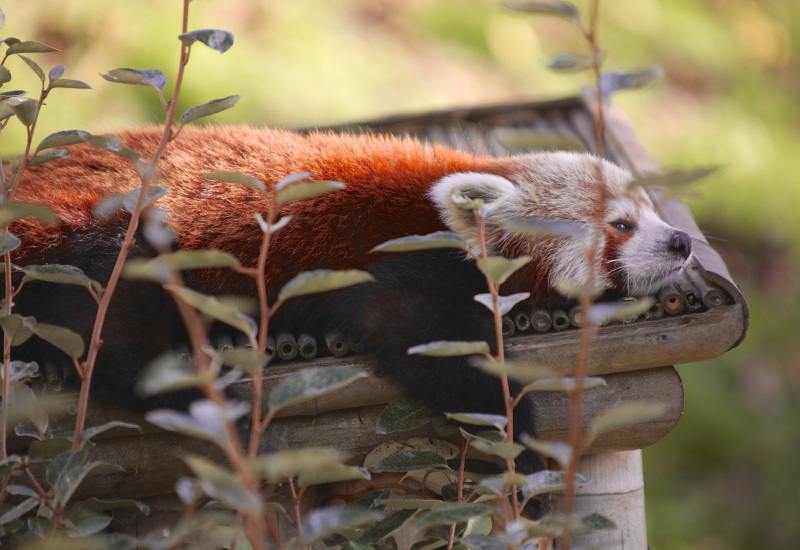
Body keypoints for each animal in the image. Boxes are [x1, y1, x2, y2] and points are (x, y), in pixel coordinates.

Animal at [9, 128, 692, 478]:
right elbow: (430, 345)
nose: (681, 242)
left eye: (654, 212)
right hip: (117, 240)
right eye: (622, 225)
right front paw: (517, 449)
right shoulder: (404, 264)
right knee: (111, 332)